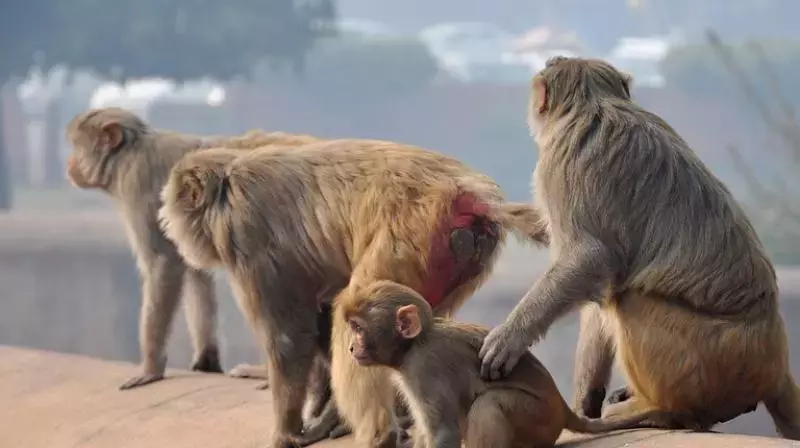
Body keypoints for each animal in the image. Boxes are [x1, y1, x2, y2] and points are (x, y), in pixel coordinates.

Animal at [65, 107, 322, 391]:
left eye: (77, 145)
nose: (70, 163)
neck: (129, 153)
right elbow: (196, 272)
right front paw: (206, 360)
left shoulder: (137, 186)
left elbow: (163, 264)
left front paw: (151, 368)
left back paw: (267, 371)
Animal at [157, 140, 550, 447]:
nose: (167, 222)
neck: (229, 184)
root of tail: (470, 193)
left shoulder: (248, 238)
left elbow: (288, 338)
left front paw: (285, 432)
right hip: (460, 259)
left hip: (411, 234)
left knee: (356, 305)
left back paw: (377, 433)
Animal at [345, 281, 666, 448]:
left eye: (358, 328)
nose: (350, 347)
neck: (415, 343)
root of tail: (562, 408)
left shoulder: (424, 367)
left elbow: (444, 432)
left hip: (538, 419)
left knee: (490, 403)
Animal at [477, 56, 800, 439]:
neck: (593, 101)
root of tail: (775, 365)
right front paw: (486, 205)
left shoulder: (558, 163)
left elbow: (587, 259)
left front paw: (509, 338)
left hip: (711, 364)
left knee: (627, 299)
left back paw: (664, 411)